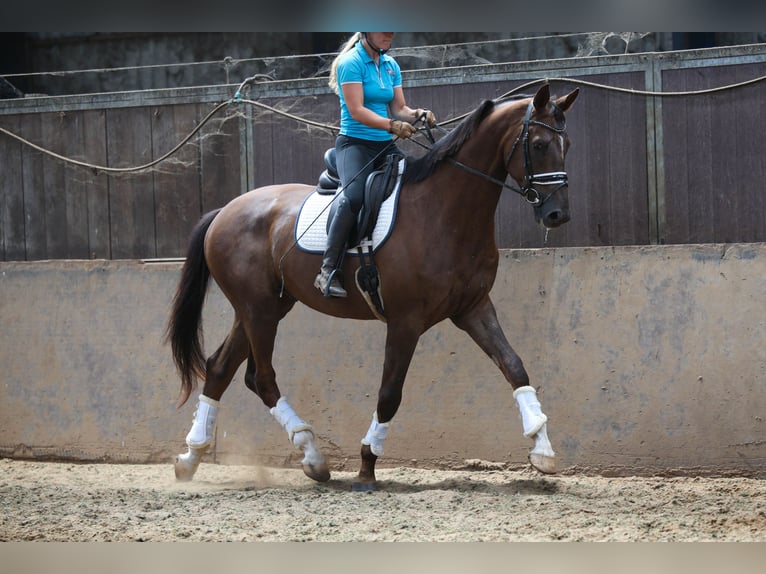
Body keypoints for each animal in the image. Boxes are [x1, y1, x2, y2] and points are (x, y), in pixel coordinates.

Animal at [165, 81, 580, 488]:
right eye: (539, 145)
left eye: (567, 145)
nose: (557, 214)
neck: (443, 210)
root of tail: (226, 210)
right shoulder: (405, 321)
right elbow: (390, 392)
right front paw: (367, 464)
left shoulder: (473, 307)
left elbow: (514, 366)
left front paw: (542, 450)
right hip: (259, 311)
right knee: (261, 377)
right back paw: (312, 456)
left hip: (262, 308)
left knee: (220, 368)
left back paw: (191, 458)